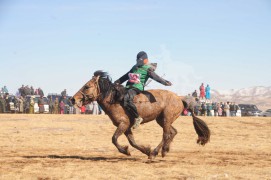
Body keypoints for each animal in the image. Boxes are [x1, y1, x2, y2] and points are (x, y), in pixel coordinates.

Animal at [71, 71, 211, 160]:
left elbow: (114, 139)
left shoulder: (123, 124)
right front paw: (145, 150)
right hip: (161, 120)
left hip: (166, 119)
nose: (73, 99)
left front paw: (126, 151)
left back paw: (156, 152)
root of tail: (180, 99)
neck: (116, 100)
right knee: (173, 132)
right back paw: (163, 150)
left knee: (166, 134)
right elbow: (132, 142)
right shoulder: (127, 127)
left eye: (87, 86)